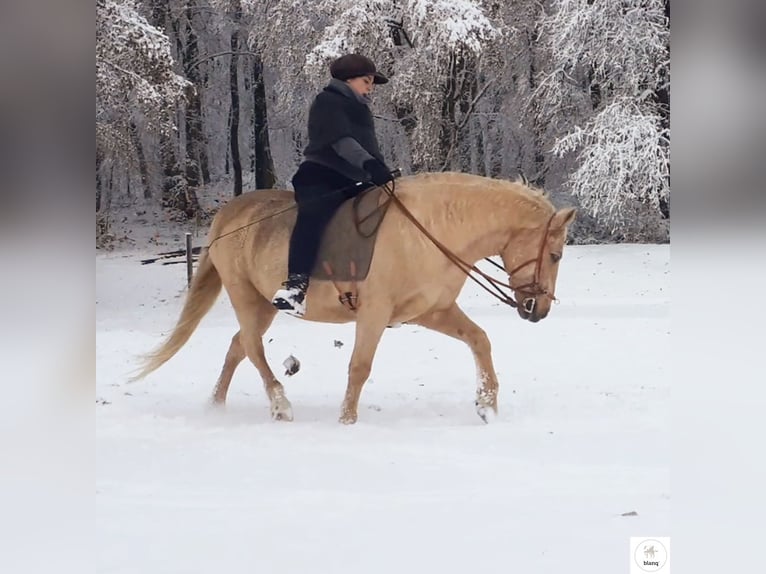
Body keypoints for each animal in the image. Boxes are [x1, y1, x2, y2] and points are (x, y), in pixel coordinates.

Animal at [135, 173, 576, 426]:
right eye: (556, 255)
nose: (539, 310)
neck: (431, 229)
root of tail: (229, 214)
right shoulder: (374, 314)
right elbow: (359, 367)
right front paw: (347, 421)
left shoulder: (432, 311)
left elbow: (479, 340)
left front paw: (487, 405)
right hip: (246, 297)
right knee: (253, 351)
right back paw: (280, 405)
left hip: (260, 306)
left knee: (238, 348)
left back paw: (216, 406)